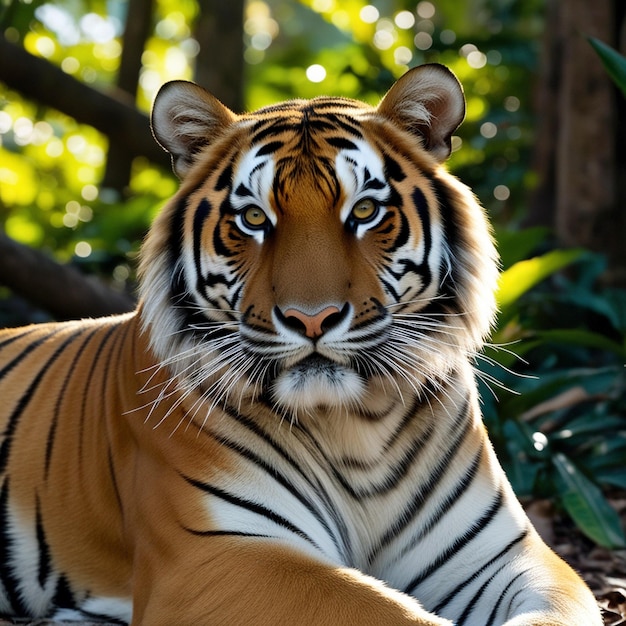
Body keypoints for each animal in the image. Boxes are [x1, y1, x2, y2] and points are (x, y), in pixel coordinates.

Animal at [0, 59, 600, 624]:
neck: (357, 428)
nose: (311, 320)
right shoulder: (210, 557)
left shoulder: (500, 554)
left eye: (364, 211)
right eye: (252, 218)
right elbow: (381, 610)